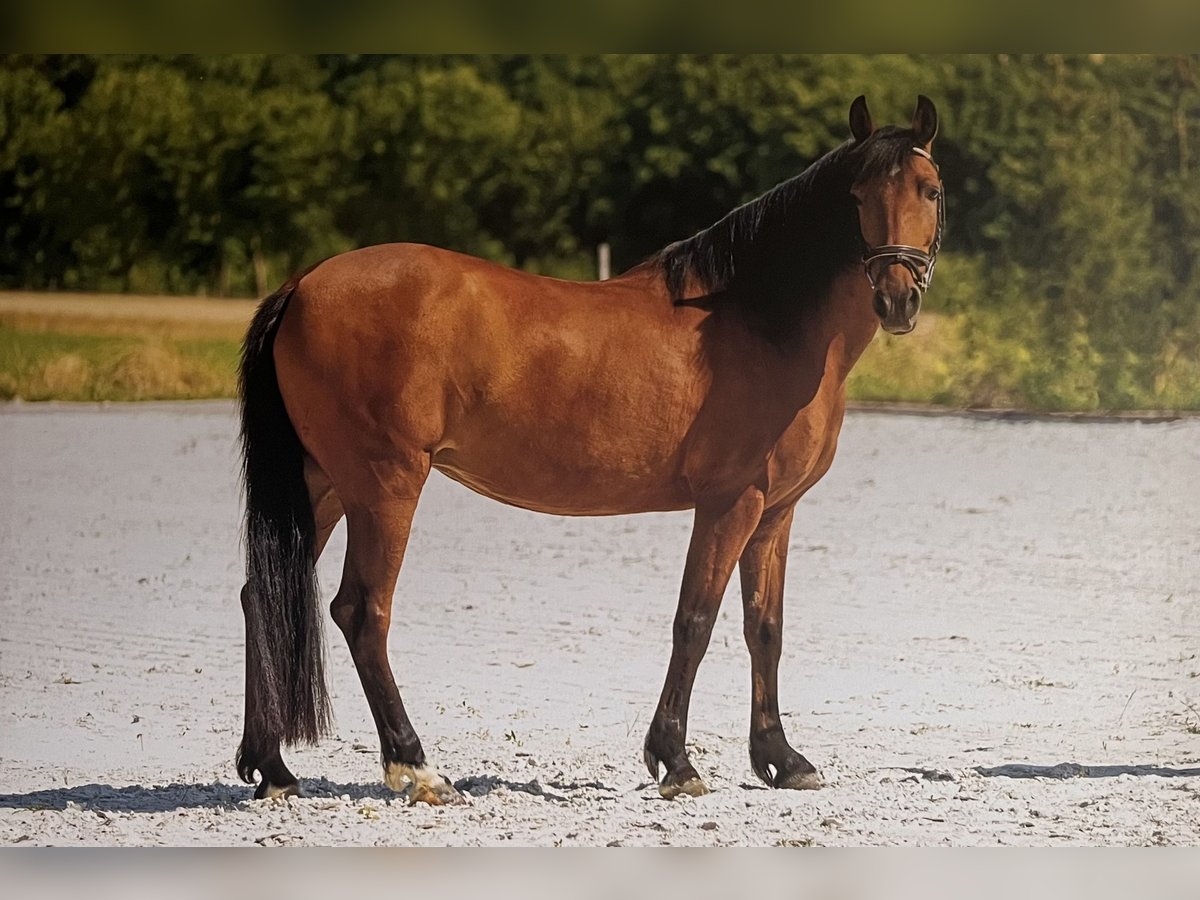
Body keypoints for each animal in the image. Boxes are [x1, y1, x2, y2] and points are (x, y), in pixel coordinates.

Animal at [236, 95, 945, 806]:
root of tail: (302, 286)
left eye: (930, 189)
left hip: (326, 485)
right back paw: (417, 767)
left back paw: (272, 768)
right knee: (362, 611)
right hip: (386, 485)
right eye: (856, 195)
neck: (759, 320)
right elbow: (695, 620)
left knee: (258, 596)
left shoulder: (775, 512)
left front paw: (783, 759)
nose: (897, 297)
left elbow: (762, 628)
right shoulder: (729, 503)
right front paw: (676, 762)